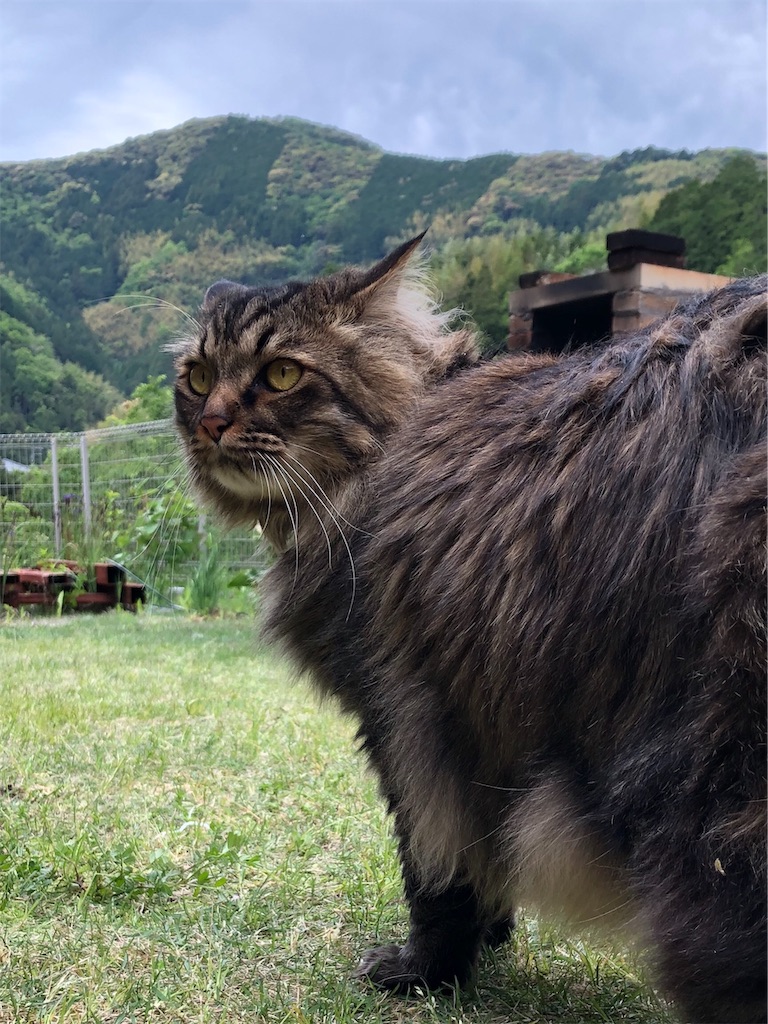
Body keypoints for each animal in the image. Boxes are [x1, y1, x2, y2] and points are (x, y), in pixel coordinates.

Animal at [173, 236, 767, 1024]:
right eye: (198, 375)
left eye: (281, 374)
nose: (209, 422)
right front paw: (490, 939)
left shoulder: (404, 712)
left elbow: (434, 868)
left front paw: (428, 970)